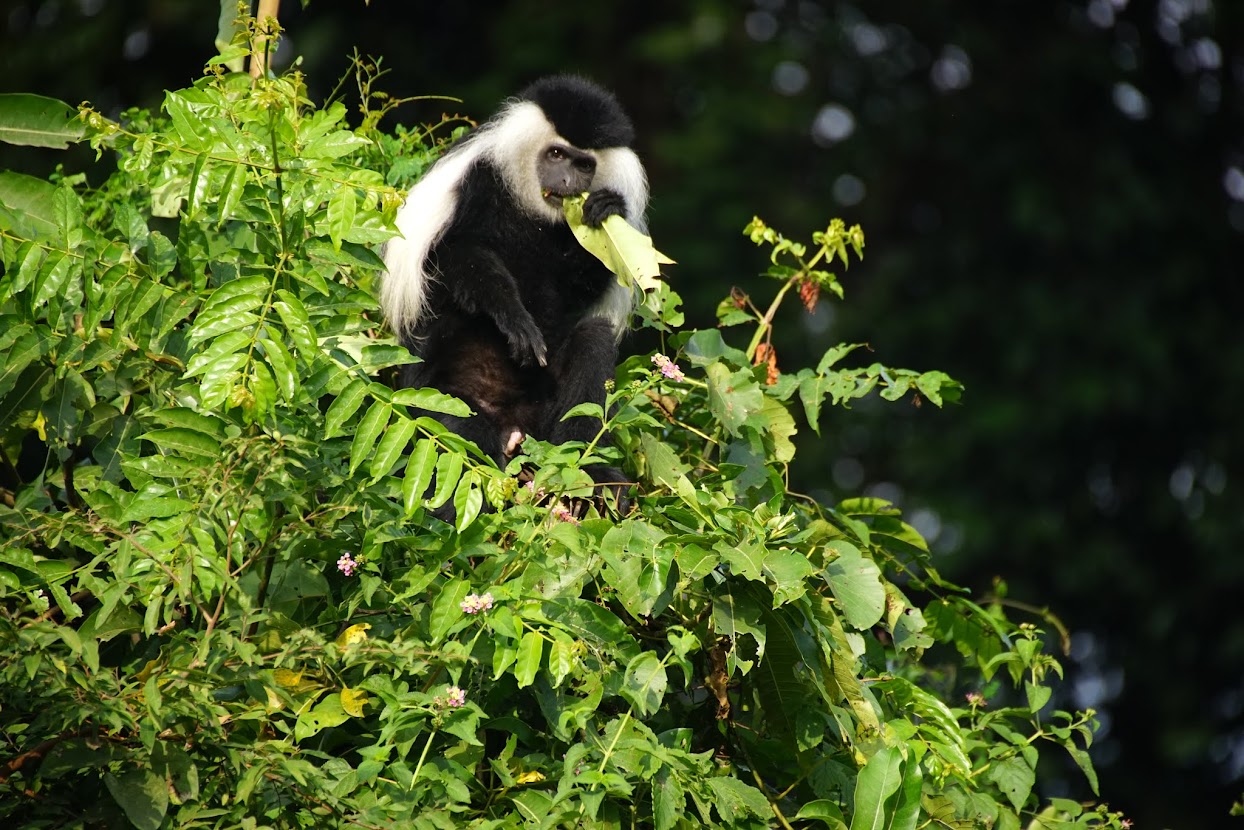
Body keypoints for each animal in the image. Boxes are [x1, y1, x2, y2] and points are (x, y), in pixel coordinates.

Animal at [380, 76, 651, 507]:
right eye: (556, 154)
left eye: (585, 165)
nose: (568, 182)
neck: (535, 210)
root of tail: (518, 431)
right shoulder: (478, 181)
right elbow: (458, 256)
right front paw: (515, 321)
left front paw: (606, 209)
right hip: (440, 395)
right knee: (459, 431)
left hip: (546, 415)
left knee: (592, 339)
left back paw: (587, 471)